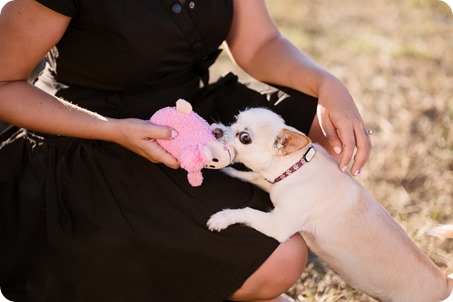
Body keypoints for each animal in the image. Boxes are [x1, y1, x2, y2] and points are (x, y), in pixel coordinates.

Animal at [207, 108, 452, 302]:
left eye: (244, 137)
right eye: (234, 119)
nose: (216, 130)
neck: (298, 165)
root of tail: (446, 283)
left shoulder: (277, 226)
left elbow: (247, 211)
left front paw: (221, 218)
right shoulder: (271, 185)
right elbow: (251, 176)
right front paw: (229, 171)